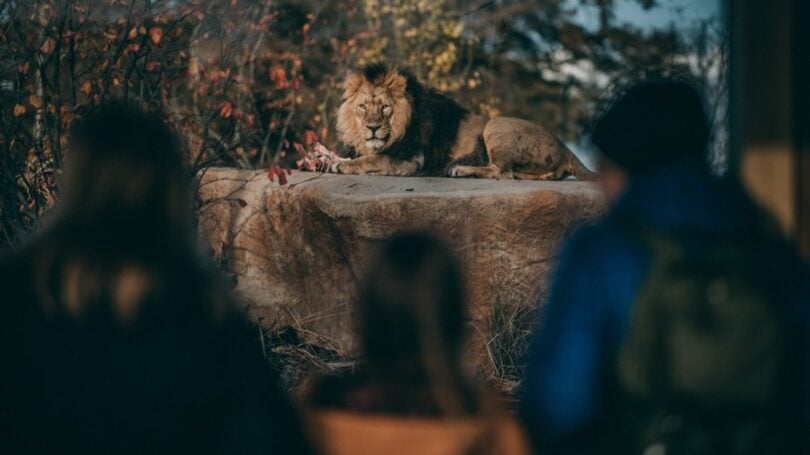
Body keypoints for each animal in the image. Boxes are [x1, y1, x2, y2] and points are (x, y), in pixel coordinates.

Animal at [329, 64, 596, 180]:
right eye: (362, 107)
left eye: (385, 107)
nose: (373, 128)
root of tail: (565, 148)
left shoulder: (409, 159)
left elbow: (371, 159)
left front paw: (340, 164)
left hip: (496, 124)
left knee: (502, 173)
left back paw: (460, 170)